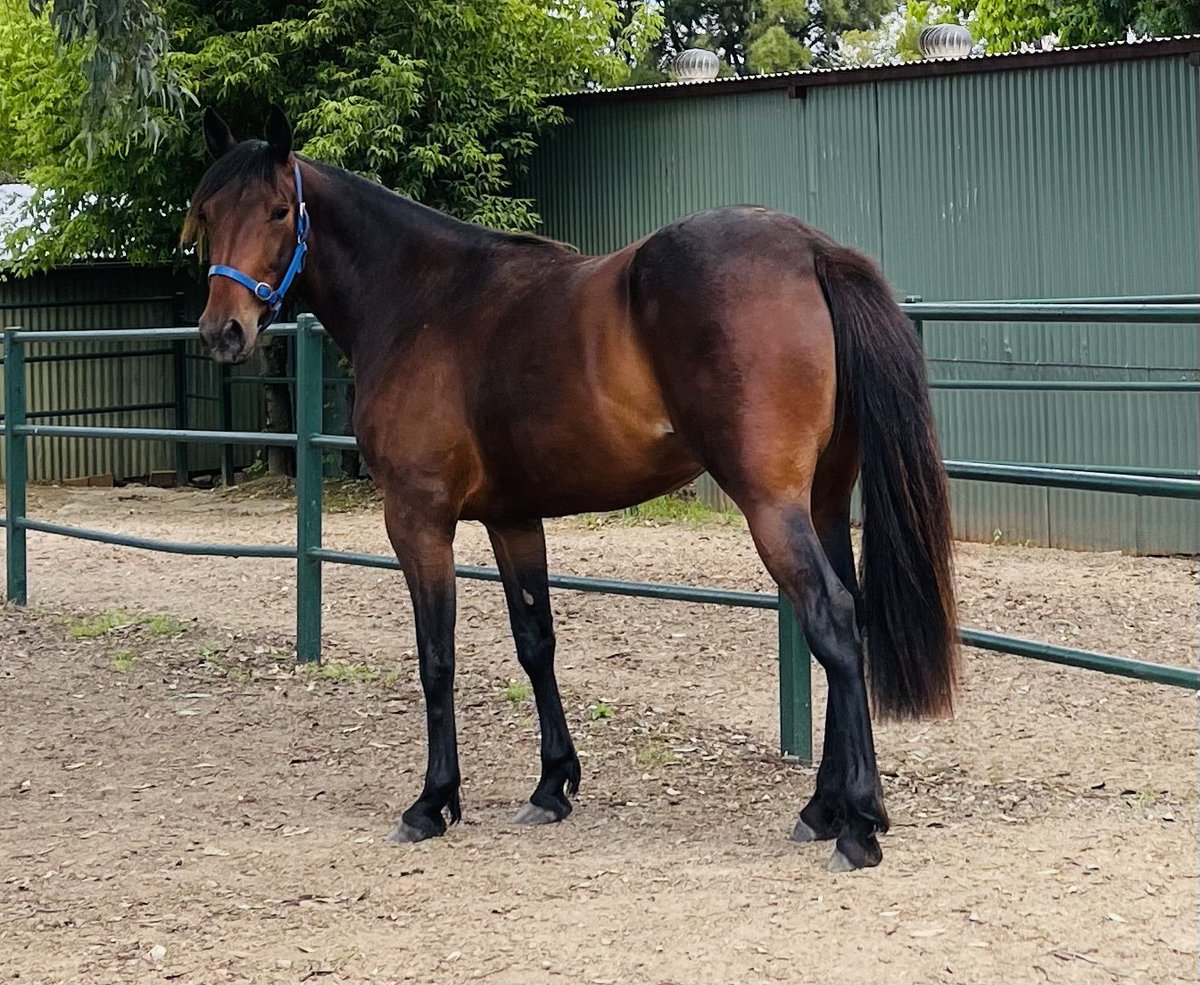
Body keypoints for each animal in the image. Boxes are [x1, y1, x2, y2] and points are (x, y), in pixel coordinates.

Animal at [185, 106, 959, 872]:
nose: (223, 332)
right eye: (210, 213)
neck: (422, 300)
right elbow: (536, 642)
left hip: (772, 506)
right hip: (823, 501)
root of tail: (810, 249)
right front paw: (552, 785)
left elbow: (437, 656)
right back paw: (823, 808)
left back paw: (859, 824)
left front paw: (432, 802)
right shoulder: (513, 519)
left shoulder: (418, 519)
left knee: (831, 620)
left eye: (280, 211)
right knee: (847, 616)